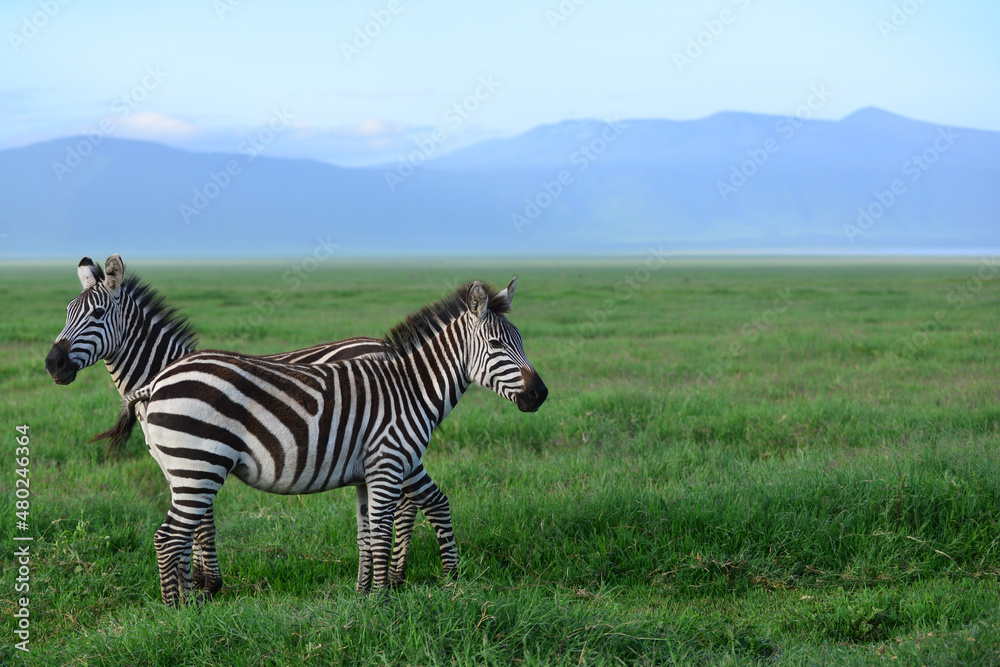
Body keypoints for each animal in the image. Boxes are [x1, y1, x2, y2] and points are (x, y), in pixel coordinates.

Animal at [45, 255, 461, 595]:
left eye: (97, 315)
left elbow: (203, 522)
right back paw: (396, 575)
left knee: (407, 503)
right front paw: (198, 582)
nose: (53, 364)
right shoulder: (183, 461)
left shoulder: (199, 454)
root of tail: (382, 346)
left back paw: (396, 576)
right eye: (66, 313)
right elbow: (199, 519)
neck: (159, 371)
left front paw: (206, 585)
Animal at [98, 279, 548, 605]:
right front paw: (387, 600)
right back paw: (177, 613)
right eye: (496, 345)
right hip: (199, 465)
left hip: (185, 469)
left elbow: (367, 534)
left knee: (175, 535)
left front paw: (366, 595)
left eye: (522, 342)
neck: (410, 388)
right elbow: (382, 531)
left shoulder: (368, 474)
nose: (540, 395)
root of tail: (156, 382)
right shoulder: (387, 464)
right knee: (168, 537)